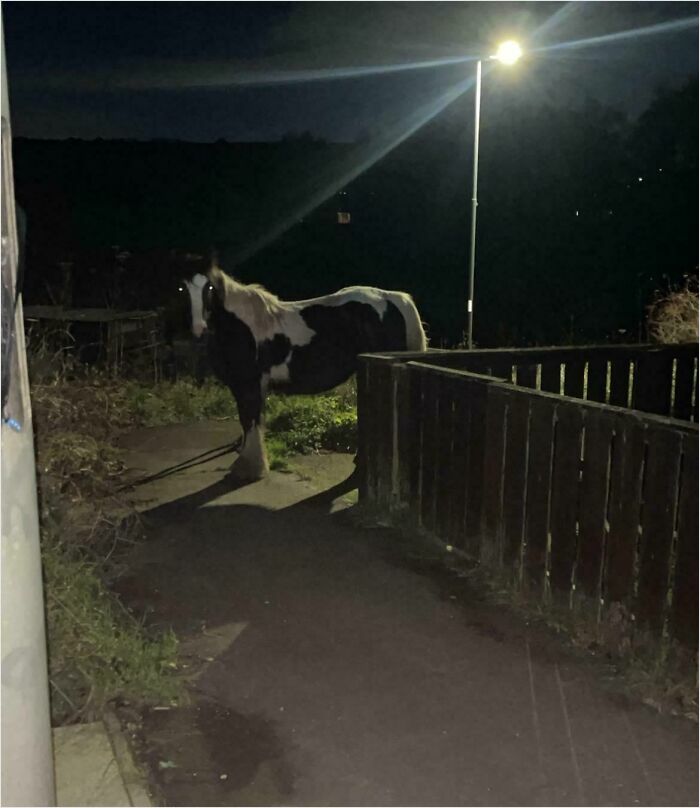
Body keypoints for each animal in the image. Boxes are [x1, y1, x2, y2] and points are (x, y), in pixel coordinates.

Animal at [175, 254, 426, 480]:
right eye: (181, 288)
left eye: (209, 287)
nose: (199, 329)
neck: (241, 326)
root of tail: (394, 298)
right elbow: (248, 422)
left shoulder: (249, 385)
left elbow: (250, 422)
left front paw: (251, 469)